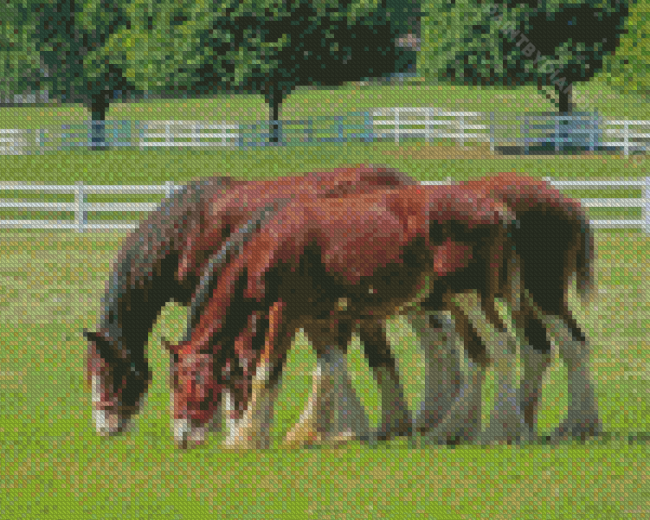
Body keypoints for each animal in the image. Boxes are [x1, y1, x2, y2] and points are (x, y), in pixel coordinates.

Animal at [82, 165, 426, 436]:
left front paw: (232, 424)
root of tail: (404, 182)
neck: (191, 227)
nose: (104, 427)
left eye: (107, 372)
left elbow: (237, 361)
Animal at [165, 185, 520, 448]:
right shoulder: (318, 317)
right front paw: (320, 432)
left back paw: (497, 432)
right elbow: (330, 368)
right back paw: (448, 431)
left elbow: (269, 371)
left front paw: (246, 438)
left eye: (186, 381)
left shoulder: (285, 312)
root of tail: (493, 207)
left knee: (503, 348)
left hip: (470, 298)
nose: (181, 436)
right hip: (457, 302)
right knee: (478, 357)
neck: (268, 243)